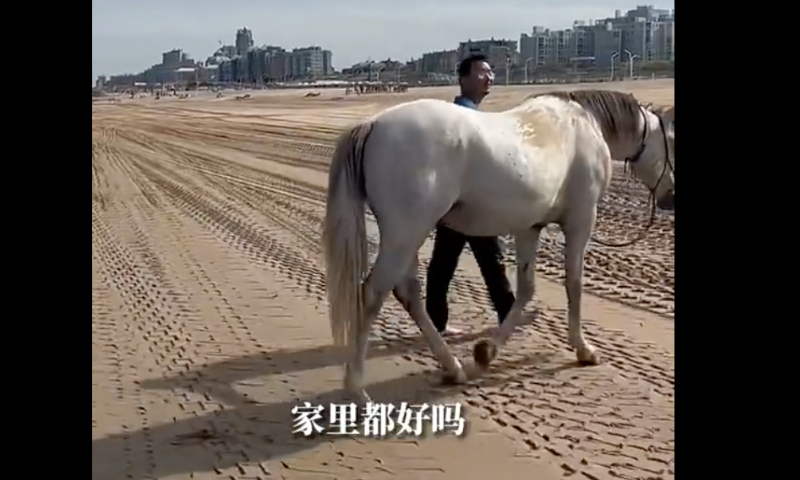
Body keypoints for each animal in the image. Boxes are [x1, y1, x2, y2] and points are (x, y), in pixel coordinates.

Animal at [322, 89, 674, 403]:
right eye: (674, 142)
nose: (671, 197)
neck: (582, 126)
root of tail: (372, 124)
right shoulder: (581, 220)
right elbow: (574, 284)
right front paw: (583, 349)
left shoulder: (530, 227)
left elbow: (526, 288)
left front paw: (487, 351)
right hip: (406, 233)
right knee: (372, 293)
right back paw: (357, 390)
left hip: (406, 236)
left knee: (408, 293)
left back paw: (453, 367)